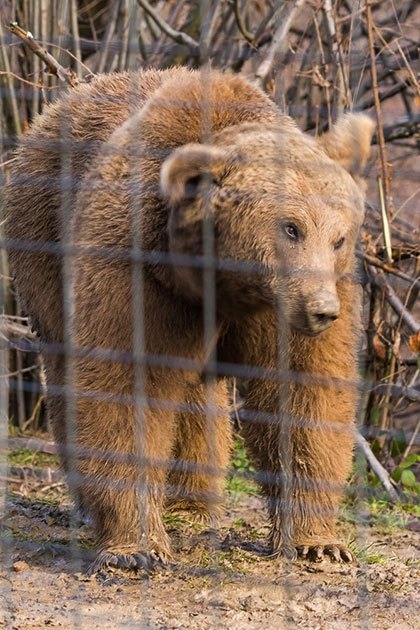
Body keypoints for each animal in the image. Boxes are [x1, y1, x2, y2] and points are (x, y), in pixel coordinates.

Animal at [4, 68, 374, 572]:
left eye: (339, 237)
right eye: (291, 227)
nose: (322, 310)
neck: (224, 282)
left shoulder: (290, 308)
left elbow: (304, 393)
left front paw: (318, 542)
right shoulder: (135, 270)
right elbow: (125, 388)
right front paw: (135, 549)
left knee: (199, 398)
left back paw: (193, 504)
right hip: (42, 240)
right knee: (66, 373)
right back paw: (90, 504)